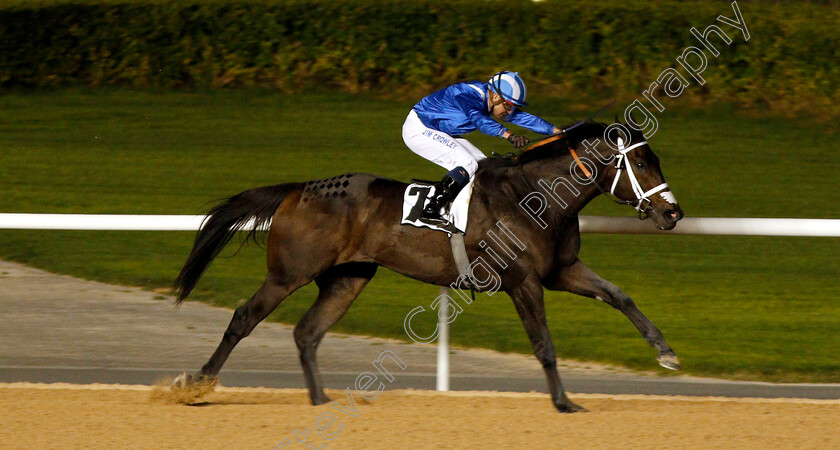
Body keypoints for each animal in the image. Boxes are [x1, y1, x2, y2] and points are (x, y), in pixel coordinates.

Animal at [171, 118, 684, 412]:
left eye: (655, 158)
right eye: (641, 162)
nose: (673, 213)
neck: (535, 197)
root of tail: (299, 188)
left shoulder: (560, 270)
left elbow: (619, 295)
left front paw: (665, 351)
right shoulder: (524, 282)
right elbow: (544, 344)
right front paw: (563, 401)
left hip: (349, 278)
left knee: (307, 333)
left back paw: (319, 399)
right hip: (288, 273)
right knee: (244, 317)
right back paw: (196, 385)